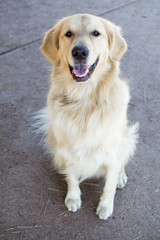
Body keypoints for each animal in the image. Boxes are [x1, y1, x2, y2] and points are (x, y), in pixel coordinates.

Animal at [34, 13, 138, 219]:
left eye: (96, 33)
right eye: (68, 33)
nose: (80, 52)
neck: (83, 100)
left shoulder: (112, 151)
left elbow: (109, 185)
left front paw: (105, 206)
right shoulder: (66, 149)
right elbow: (72, 177)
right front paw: (73, 197)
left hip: (127, 137)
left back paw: (121, 176)